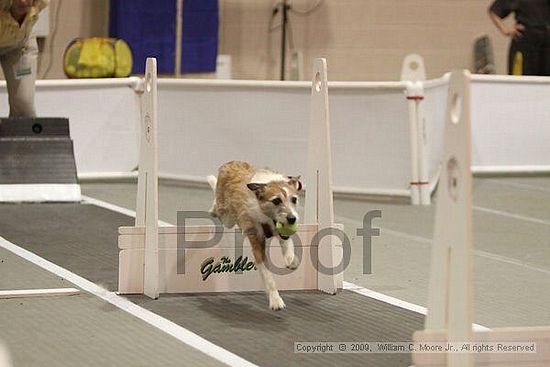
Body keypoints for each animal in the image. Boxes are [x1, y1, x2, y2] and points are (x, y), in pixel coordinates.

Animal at [208, 161, 304, 310]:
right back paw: (212, 205)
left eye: (294, 199)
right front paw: (275, 300)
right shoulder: (255, 239)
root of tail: (230, 162)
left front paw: (292, 260)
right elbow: (267, 275)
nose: (292, 219)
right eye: (276, 201)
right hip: (228, 218)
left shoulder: (282, 233)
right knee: (218, 209)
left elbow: (288, 246)